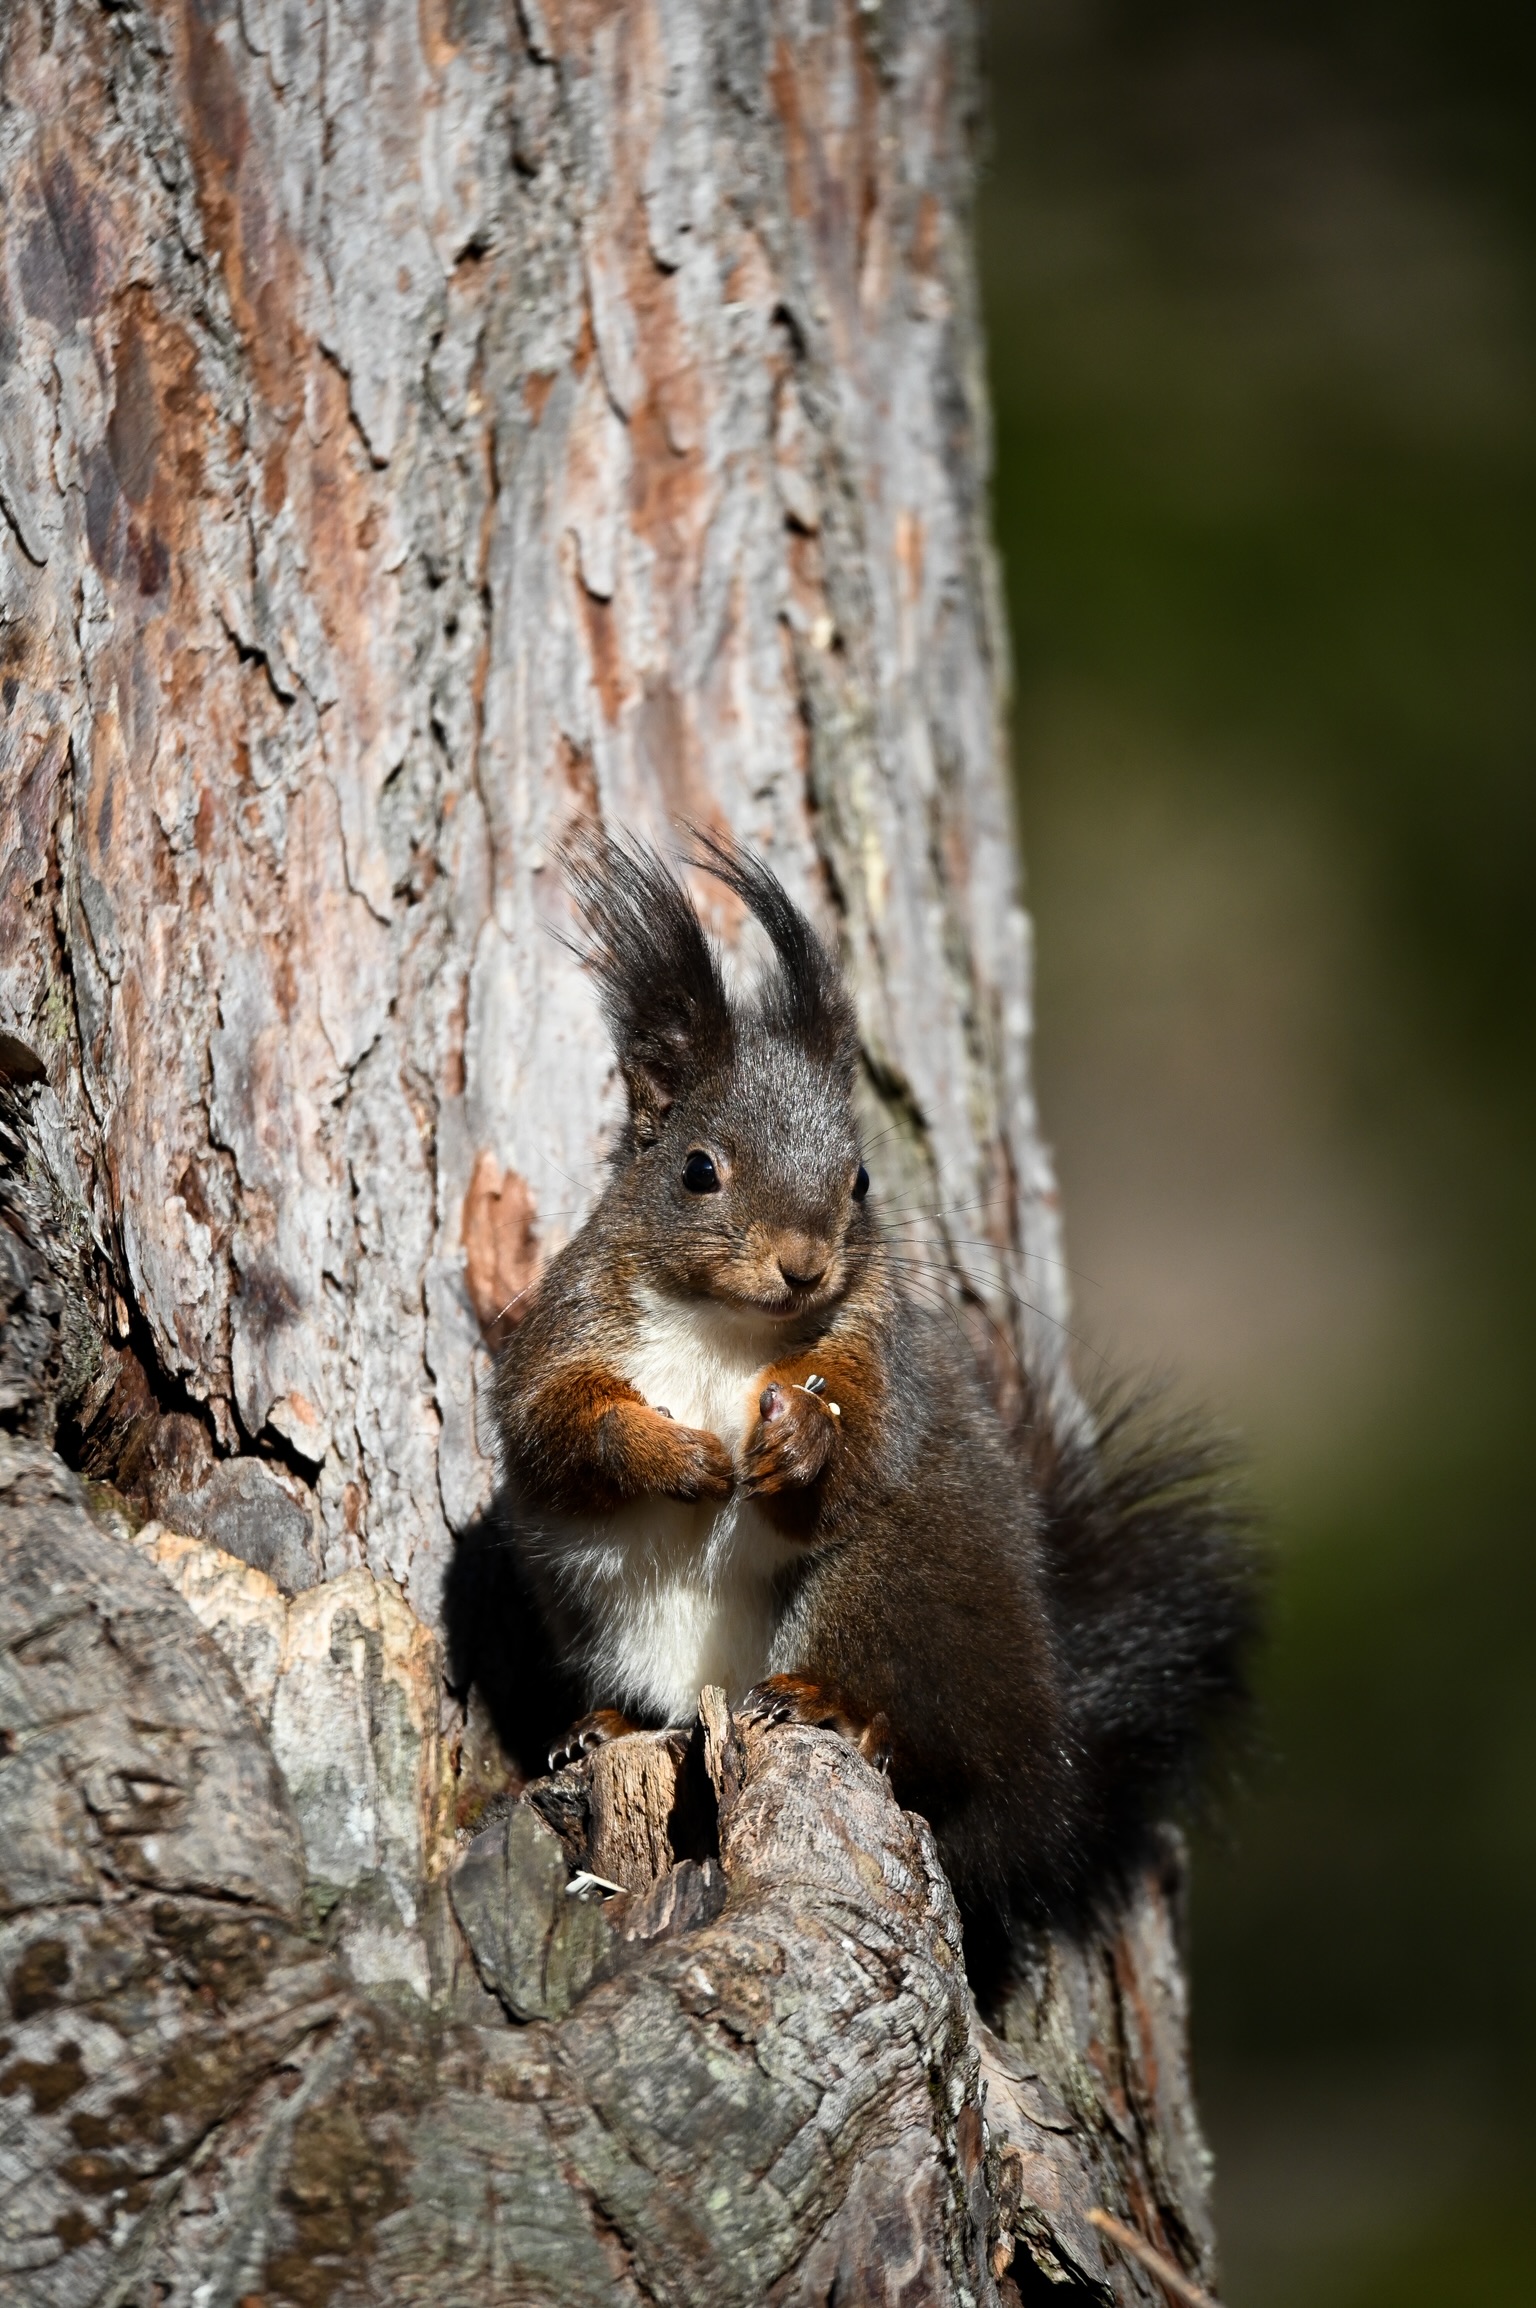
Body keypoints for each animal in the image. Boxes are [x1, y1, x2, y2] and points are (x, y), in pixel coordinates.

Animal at [449, 830, 1259, 1983]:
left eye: (863, 1178)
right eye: (698, 1169)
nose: (805, 1264)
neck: (728, 1330)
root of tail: (1048, 1771)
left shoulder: (883, 1364)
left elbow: (859, 1447)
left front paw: (798, 1439)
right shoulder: (559, 1335)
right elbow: (557, 1427)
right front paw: (669, 1451)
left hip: (885, 1588)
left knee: (933, 1756)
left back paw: (839, 1709)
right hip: (601, 1608)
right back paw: (600, 1724)